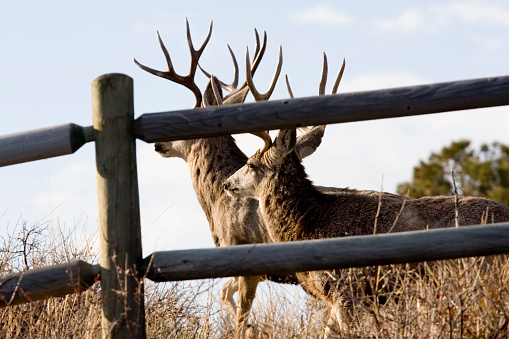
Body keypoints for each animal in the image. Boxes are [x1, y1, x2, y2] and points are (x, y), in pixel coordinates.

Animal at [135, 19, 348, 338]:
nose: (159, 144)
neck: (216, 201)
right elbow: (225, 294)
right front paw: (253, 328)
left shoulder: (246, 256)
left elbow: (238, 310)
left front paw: (247, 327)